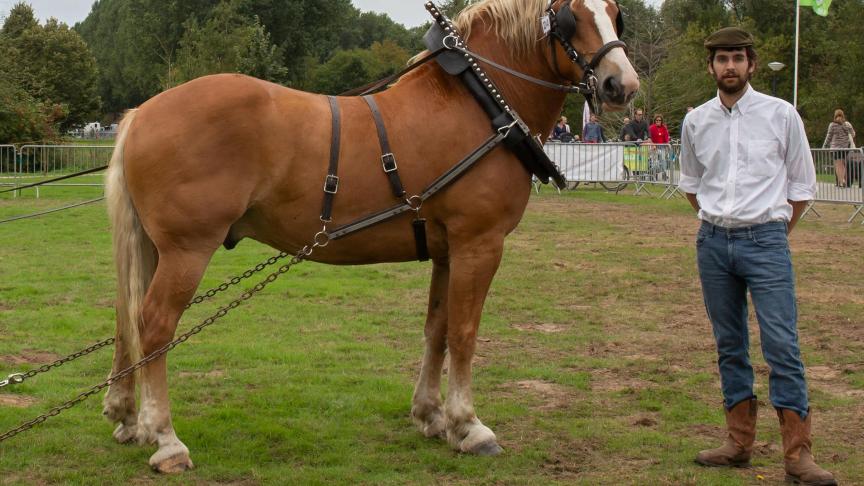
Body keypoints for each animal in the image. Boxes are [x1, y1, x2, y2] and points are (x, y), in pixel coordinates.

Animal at [104, 0, 636, 470]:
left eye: (615, 14)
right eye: (570, 18)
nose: (622, 84)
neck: (481, 102)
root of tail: (139, 114)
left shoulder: (448, 249)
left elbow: (437, 329)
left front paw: (431, 415)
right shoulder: (479, 242)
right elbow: (464, 333)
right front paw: (469, 425)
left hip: (155, 248)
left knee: (126, 317)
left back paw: (128, 417)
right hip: (187, 249)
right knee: (154, 324)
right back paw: (166, 439)